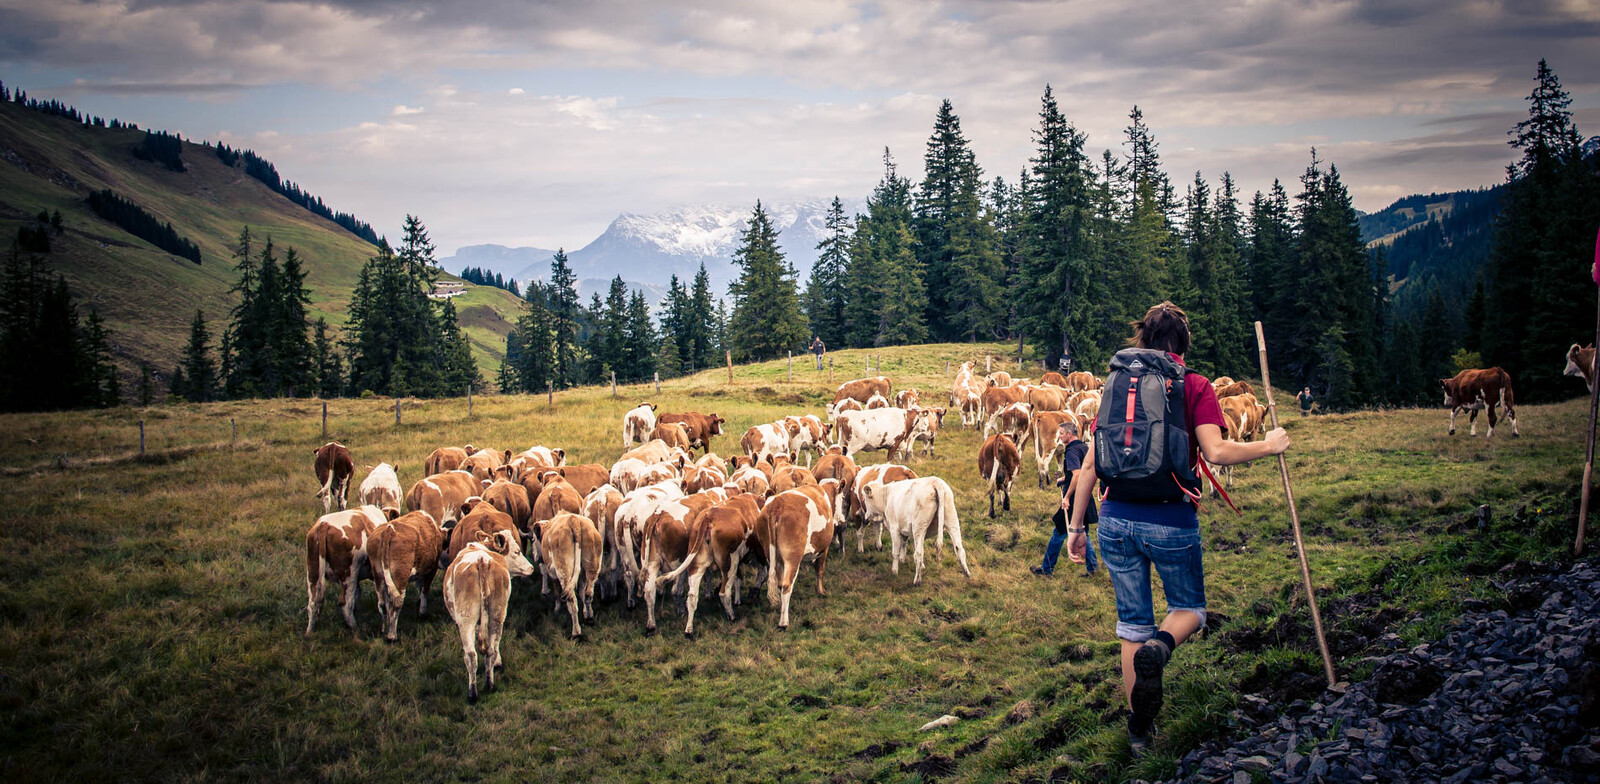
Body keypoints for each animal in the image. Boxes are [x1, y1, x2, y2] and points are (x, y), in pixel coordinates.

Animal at [304, 502, 395, 636]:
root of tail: (324, 524)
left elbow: (358, 593)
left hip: (313, 572)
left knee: (312, 603)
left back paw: (310, 632)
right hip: (349, 574)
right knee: (345, 603)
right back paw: (354, 627)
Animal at [369, 508, 448, 643]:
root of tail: (389, 530)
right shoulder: (431, 569)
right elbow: (425, 590)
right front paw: (422, 613)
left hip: (379, 577)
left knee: (383, 604)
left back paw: (384, 630)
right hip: (399, 576)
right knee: (396, 602)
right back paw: (391, 636)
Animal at [441, 528, 534, 704]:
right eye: (517, 551)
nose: (531, 568)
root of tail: (482, 560)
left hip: (466, 620)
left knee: (471, 655)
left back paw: (472, 694)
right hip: (497, 615)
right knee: (490, 650)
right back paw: (490, 684)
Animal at [531, 512, 604, 640]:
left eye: (533, 539)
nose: (534, 556)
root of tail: (573, 520)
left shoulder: (553, 573)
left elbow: (557, 593)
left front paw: (556, 610)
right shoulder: (582, 575)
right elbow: (582, 593)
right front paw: (586, 613)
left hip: (563, 571)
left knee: (571, 600)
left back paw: (576, 632)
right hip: (592, 566)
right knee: (588, 594)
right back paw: (589, 619)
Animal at [755, 480, 844, 633]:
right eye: (843, 497)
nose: (842, 519)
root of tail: (776, 505)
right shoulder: (824, 548)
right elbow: (820, 570)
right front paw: (821, 591)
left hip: (772, 554)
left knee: (780, 583)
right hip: (793, 557)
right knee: (786, 585)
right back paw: (784, 622)